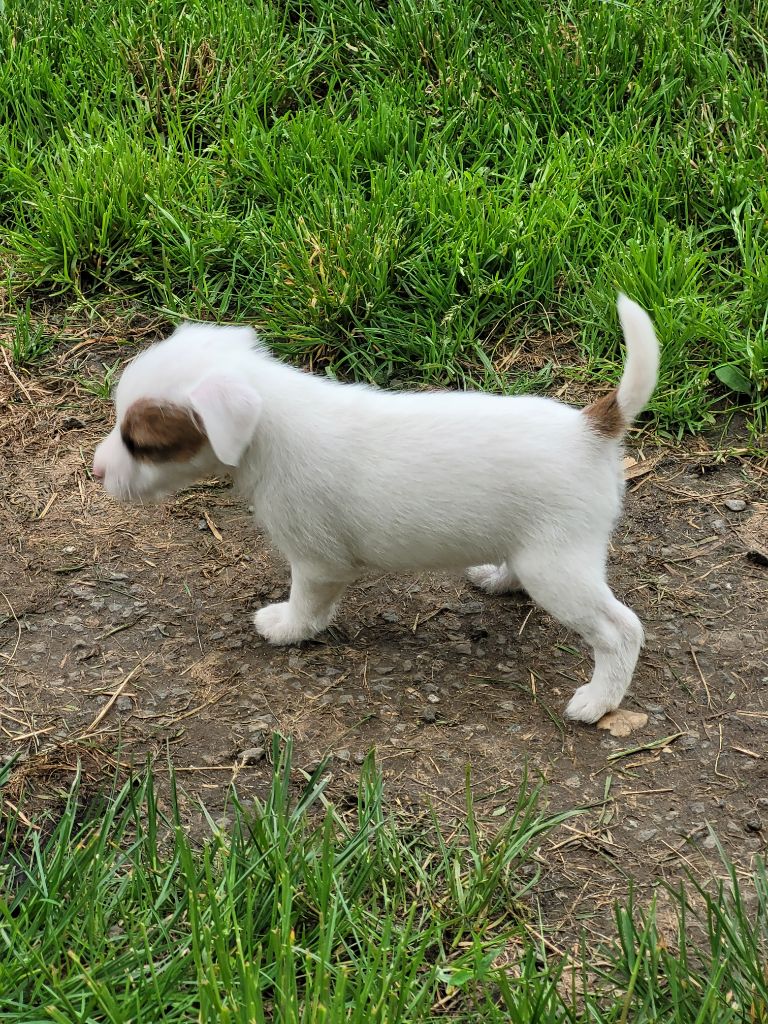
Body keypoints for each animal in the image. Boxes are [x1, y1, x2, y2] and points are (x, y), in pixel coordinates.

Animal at [93, 295, 659, 724]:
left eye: (140, 443)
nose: (97, 472)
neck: (272, 424)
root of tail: (591, 428)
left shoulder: (317, 564)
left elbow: (307, 605)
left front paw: (288, 628)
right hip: (534, 550)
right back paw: (498, 578)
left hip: (557, 569)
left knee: (622, 630)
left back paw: (599, 701)